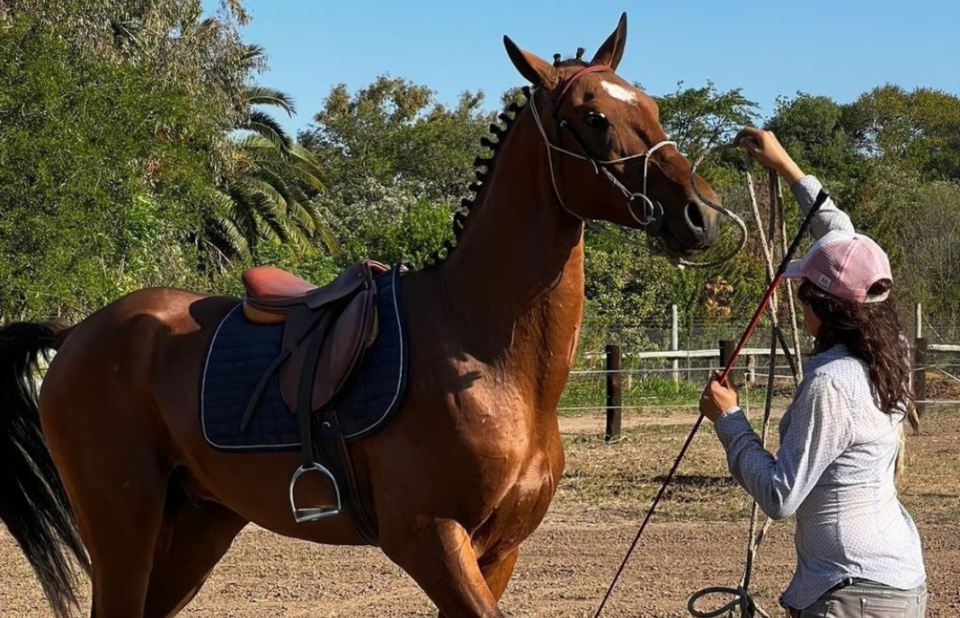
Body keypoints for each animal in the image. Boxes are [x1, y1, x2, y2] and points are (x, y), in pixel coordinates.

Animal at [0, 13, 722, 618]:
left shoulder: (497, 552)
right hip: (123, 524)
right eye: (593, 117)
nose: (700, 214)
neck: (482, 353)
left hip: (200, 523)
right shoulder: (429, 539)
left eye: (652, 106)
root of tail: (77, 333)